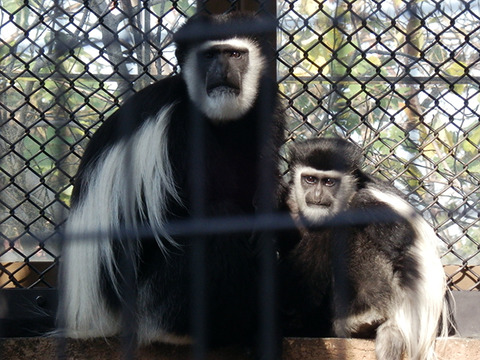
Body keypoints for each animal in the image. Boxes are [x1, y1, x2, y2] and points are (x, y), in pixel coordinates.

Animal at [60, 12, 284, 348]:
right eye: (209, 56)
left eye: (234, 54)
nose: (221, 71)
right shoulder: (176, 129)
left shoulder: (267, 106)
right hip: (150, 301)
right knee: (217, 222)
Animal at [280, 138, 452, 360]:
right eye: (309, 179)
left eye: (329, 182)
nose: (317, 195)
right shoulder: (289, 203)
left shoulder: (370, 195)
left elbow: (400, 234)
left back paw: (362, 319)